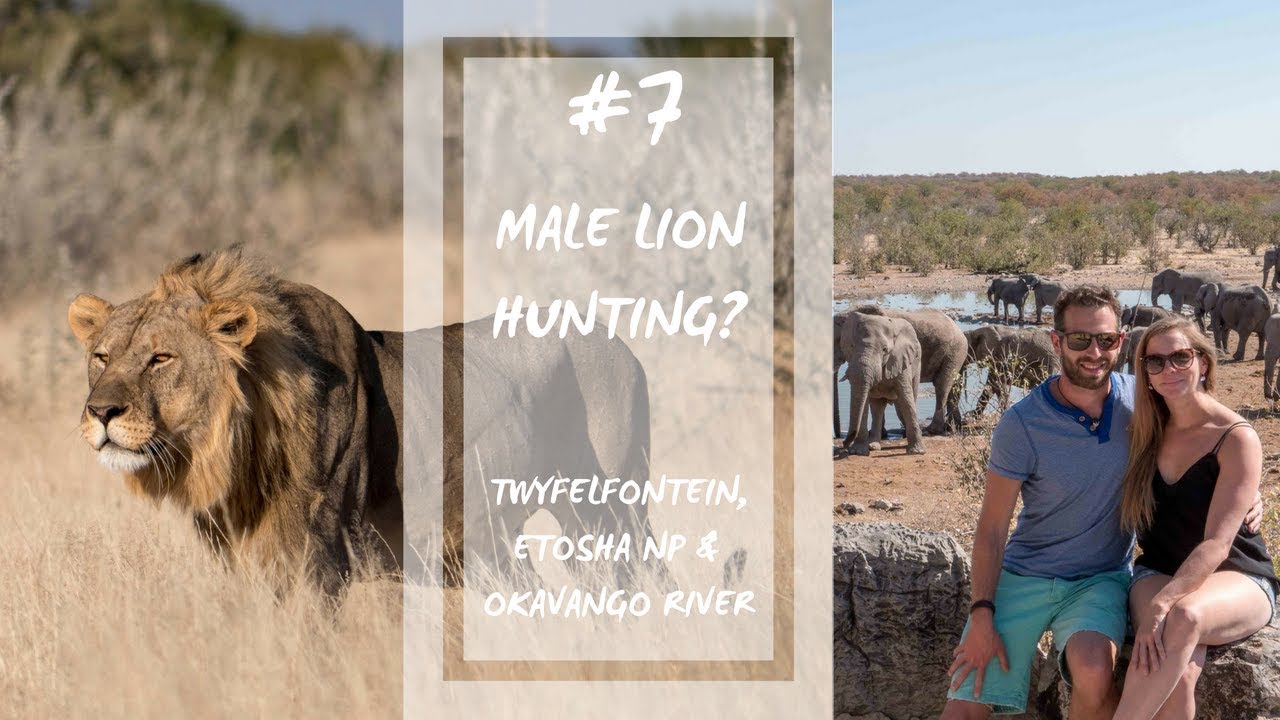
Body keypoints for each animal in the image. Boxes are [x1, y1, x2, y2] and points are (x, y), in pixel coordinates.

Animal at [68, 247, 653, 593]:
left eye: (160, 359)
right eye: (102, 357)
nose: (100, 411)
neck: (233, 454)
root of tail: (621, 344)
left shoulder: (318, 550)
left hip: (608, 510)